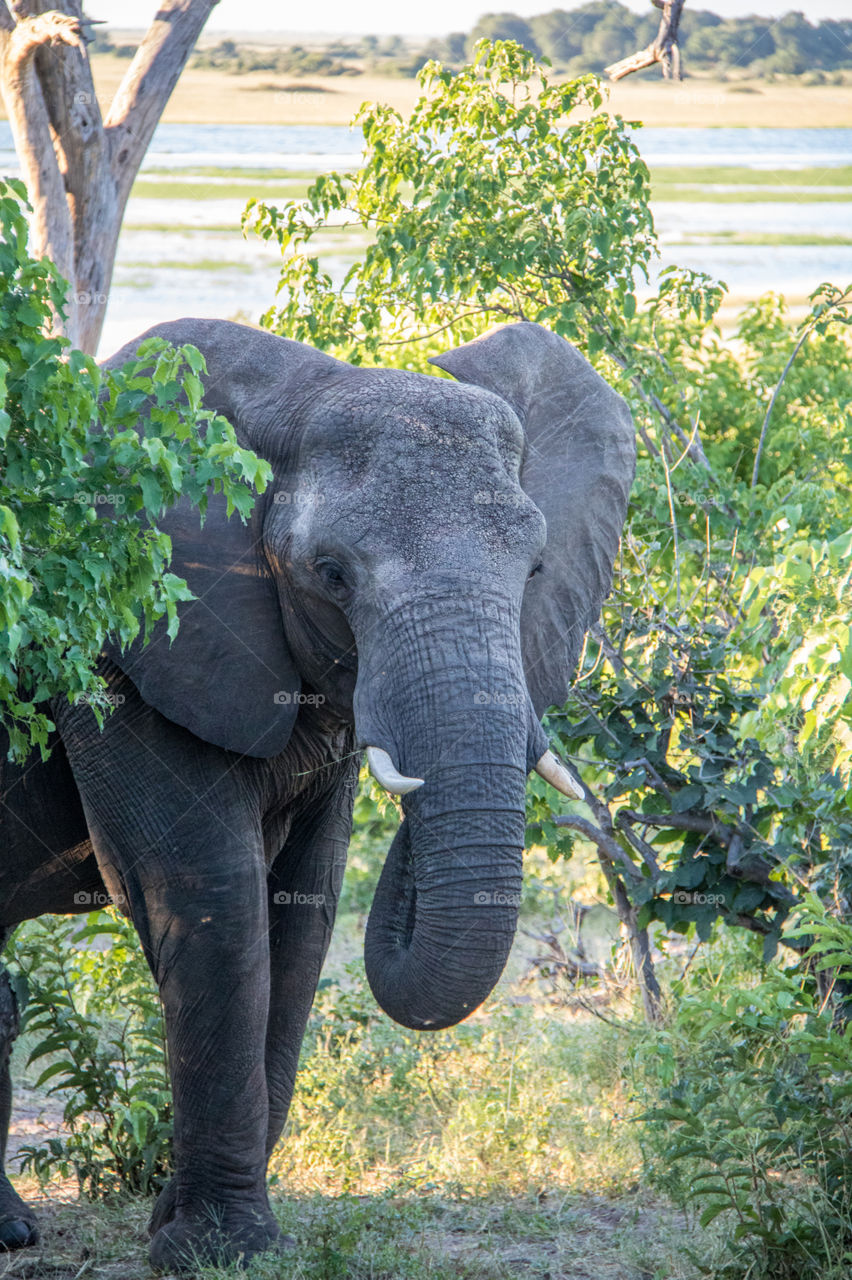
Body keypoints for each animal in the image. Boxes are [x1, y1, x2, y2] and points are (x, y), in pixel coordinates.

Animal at [0, 318, 634, 1270]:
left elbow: (305, 909)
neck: (298, 391)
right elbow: (210, 892)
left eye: (534, 570)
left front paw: (190, 1227)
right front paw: (213, 1252)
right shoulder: (123, 647)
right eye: (332, 574)